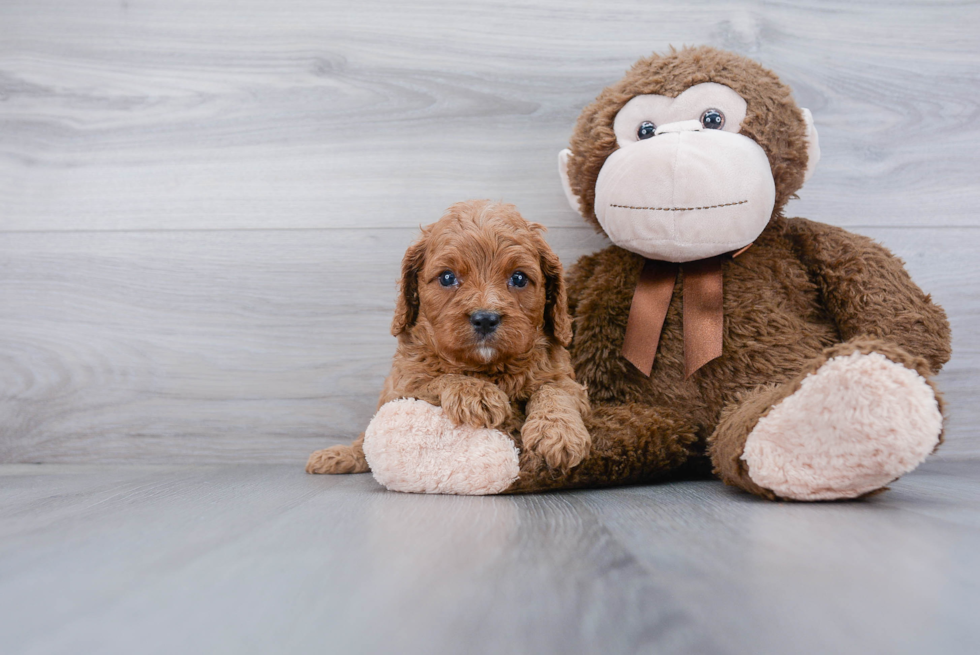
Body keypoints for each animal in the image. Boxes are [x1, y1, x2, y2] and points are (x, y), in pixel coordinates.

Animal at [308, 199, 588, 476]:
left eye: (518, 278)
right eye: (447, 277)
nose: (485, 318)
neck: (487, 368)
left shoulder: (565, 378)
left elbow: (554, 390)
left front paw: (559, 433)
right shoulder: (404, 385)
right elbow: (436, 379)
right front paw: (477, 394)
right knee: (365, 439)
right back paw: (337, 456)